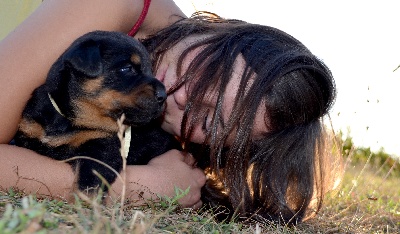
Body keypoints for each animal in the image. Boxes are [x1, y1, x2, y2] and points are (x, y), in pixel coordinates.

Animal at [14, 30, 180, 193]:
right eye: (127, 68)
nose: (163, 95)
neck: (70, 120)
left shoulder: (101, 149)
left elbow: (88, 184)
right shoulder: (27, 131)